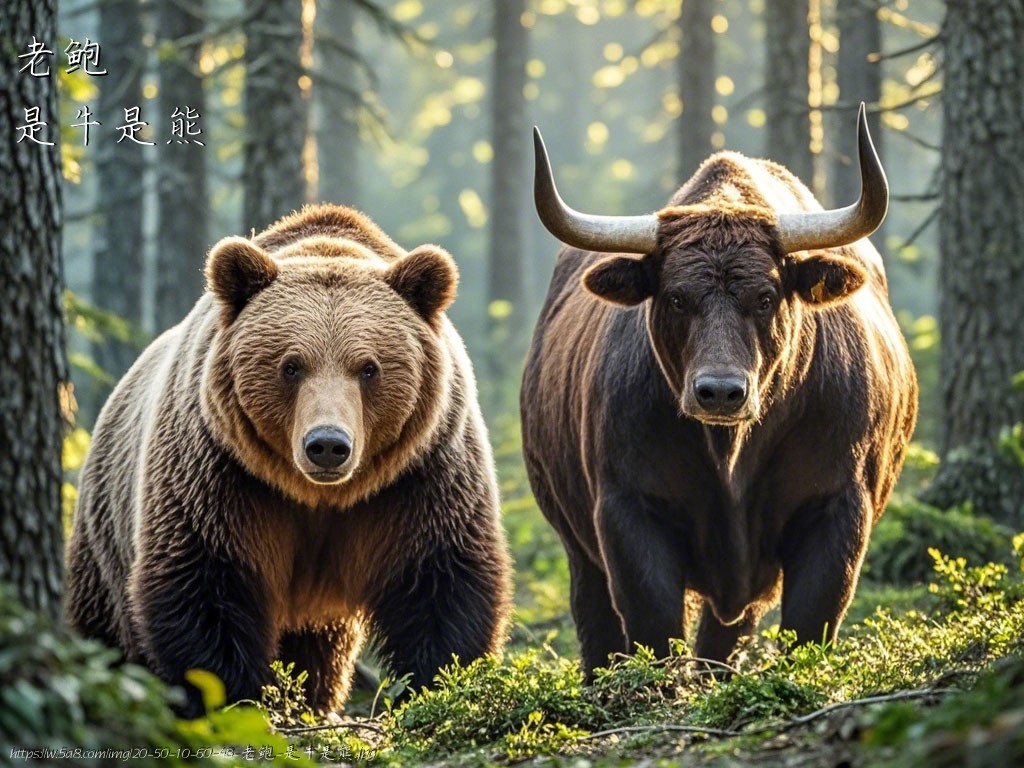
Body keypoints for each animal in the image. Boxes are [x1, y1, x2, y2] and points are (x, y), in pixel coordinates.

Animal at [65, 202, 512, 716]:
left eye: (369, 368)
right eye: (291, 365)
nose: (328, 444)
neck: (317, 495)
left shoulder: (421, 474)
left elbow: (441, 584)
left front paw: (436, 688)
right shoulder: (220, 473)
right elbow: (205, 585)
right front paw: (236, 697)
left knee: (321, 650)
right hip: (105, 535)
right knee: (106, 635)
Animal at [524, 105, 917, 675]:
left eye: (766, 296)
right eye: (676, 296)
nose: (720, 392)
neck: (731, 455)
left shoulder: (838, 507)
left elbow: (811, 622)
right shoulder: (626, 512)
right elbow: (653, 628)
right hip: (577, 546)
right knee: (598, 628)